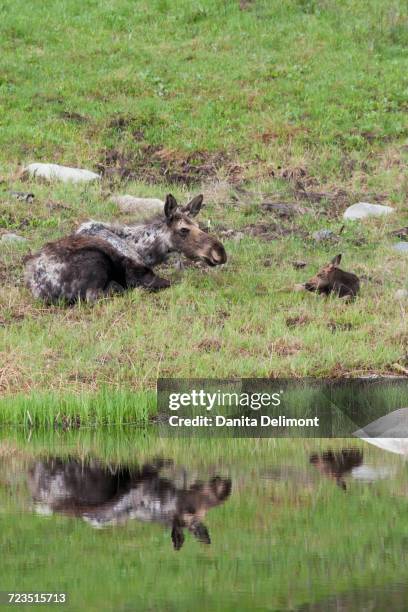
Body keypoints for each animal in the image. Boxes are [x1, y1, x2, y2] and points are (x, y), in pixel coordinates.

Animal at [23, 194, 228, 304]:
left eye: (199, 225)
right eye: (184, 229)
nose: (220, 252)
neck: (144, 250)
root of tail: (38, 289)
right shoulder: (140, 274)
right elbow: (173, 282)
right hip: (96, 262)